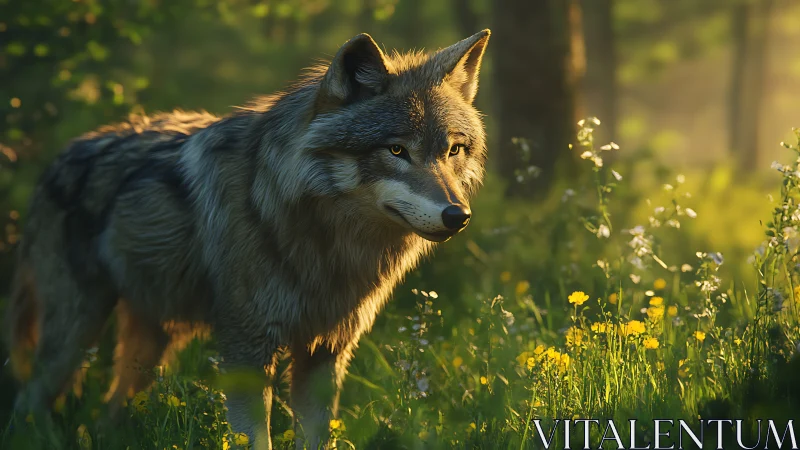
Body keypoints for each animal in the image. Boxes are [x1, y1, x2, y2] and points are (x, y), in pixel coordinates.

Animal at [4, 29, 490, 449]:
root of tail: (57, 159)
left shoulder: (326, 351)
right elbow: (256, 438)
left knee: (109, 411)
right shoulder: (247, 351)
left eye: (452, 150)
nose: (458, 216)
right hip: (74, 336)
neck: (325, 246)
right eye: (396, 150)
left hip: (152, 345)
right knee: (29, 402)